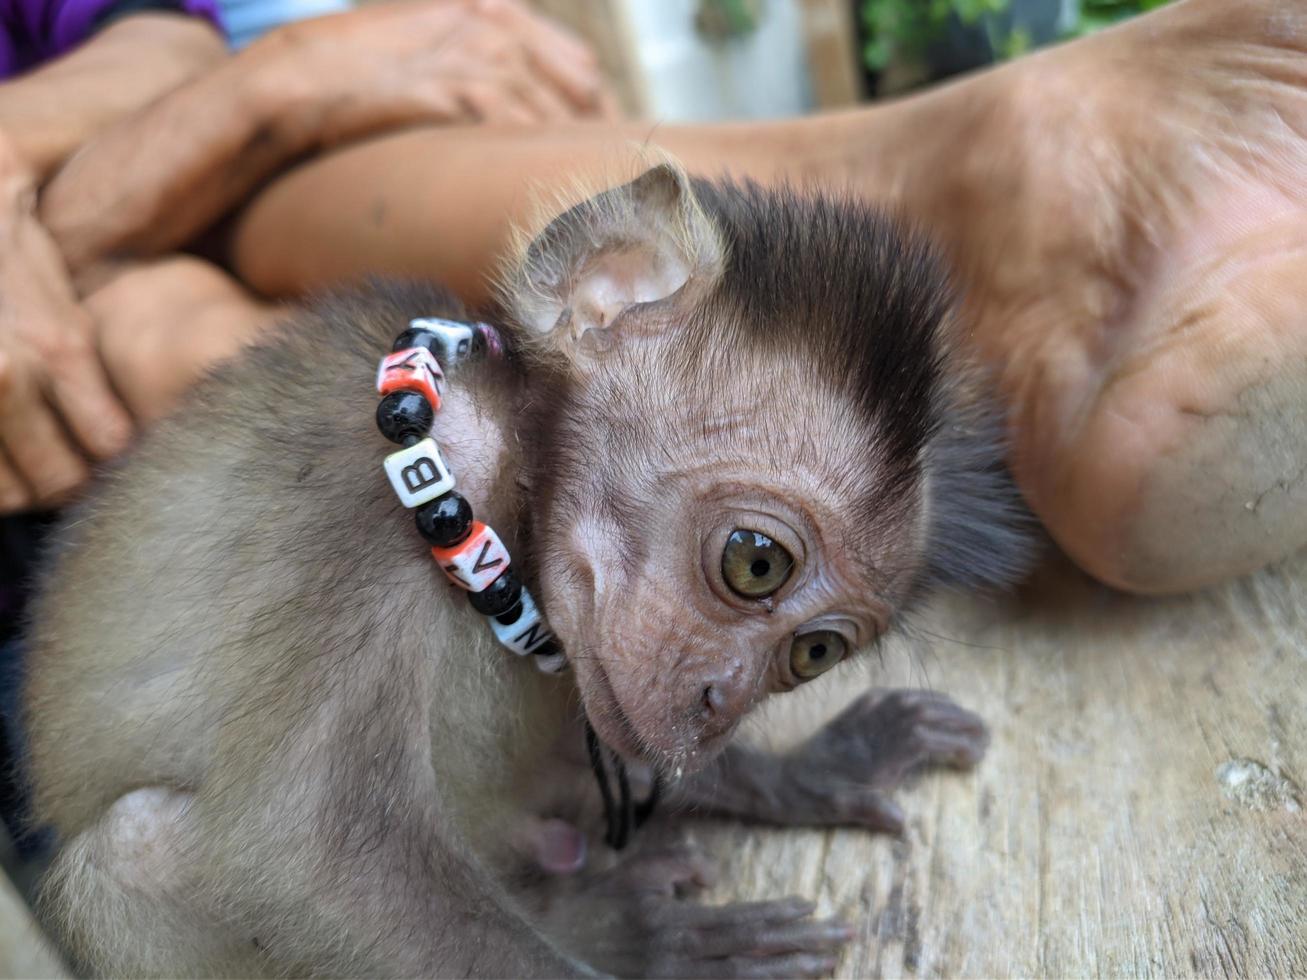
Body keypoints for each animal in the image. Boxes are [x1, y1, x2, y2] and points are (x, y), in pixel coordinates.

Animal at [20, 165, 1029, 977]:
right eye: (755, 563)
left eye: (813, 655)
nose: (720, 704)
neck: (491, 475)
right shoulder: (351, 514)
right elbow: (301, 846)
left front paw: (808, 768)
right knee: (138, 846)